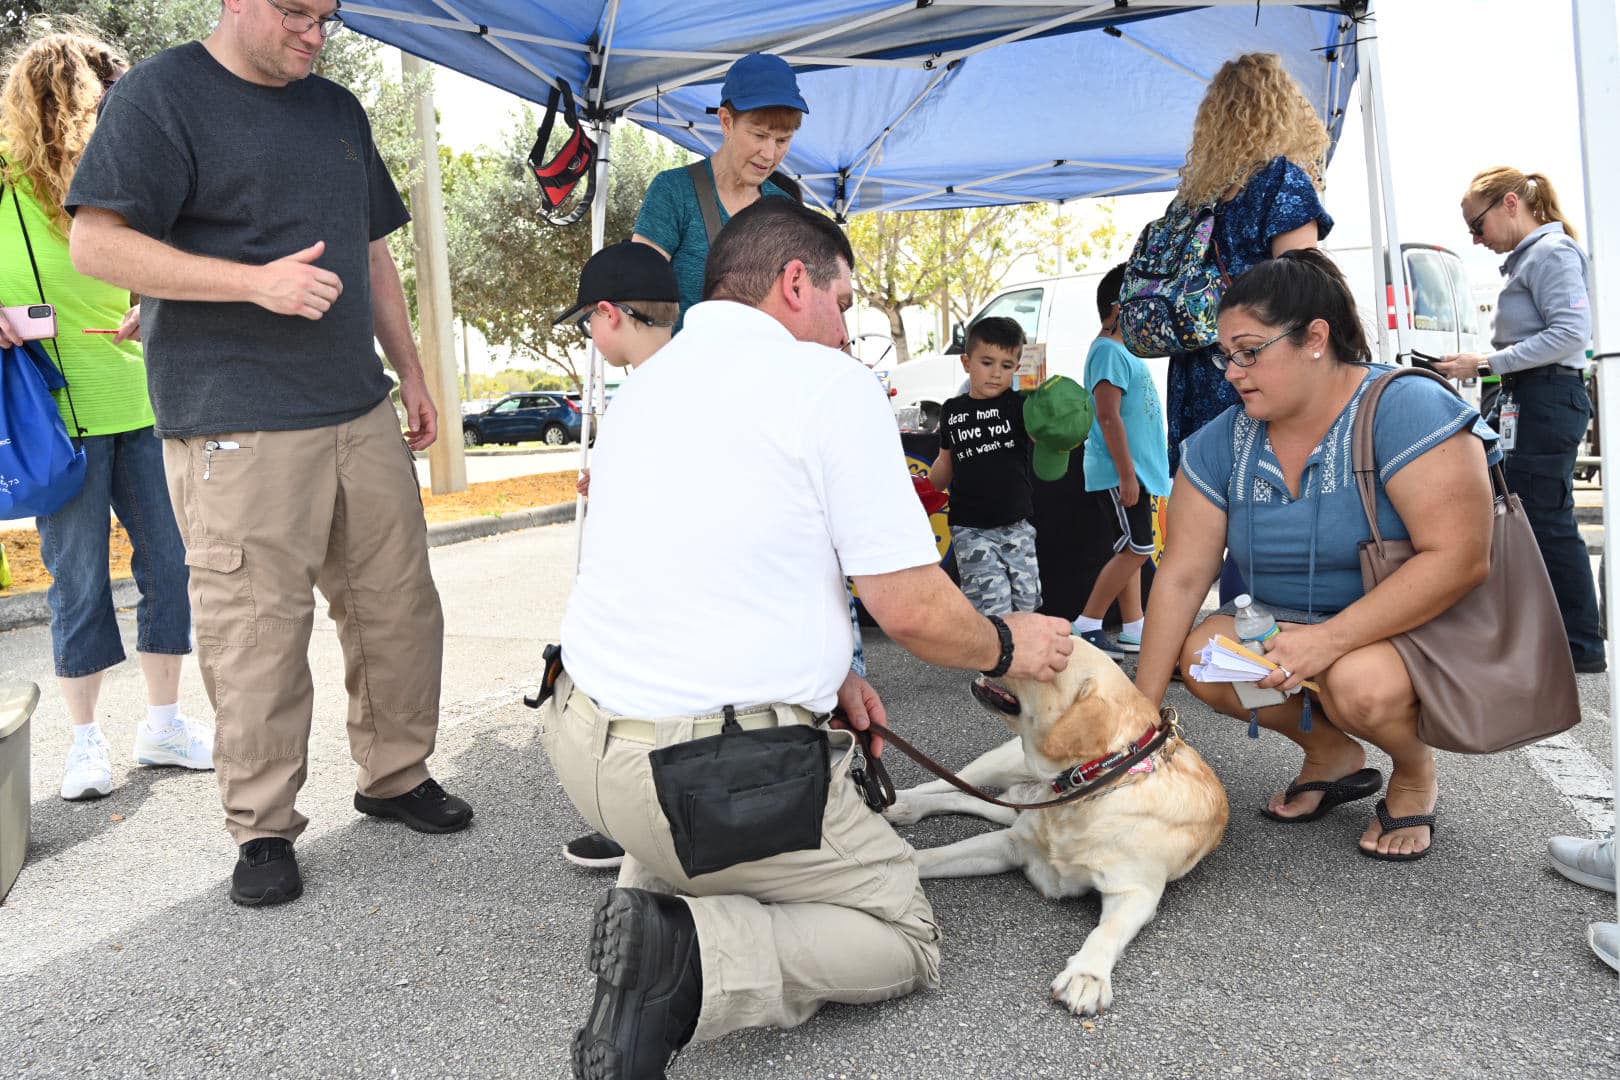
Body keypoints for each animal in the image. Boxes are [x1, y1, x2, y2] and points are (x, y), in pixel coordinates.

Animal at [887, 637, 1224, 1016]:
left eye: (1051, 661)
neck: (1093, 783)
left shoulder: (1135, 891)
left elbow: (1106, 931)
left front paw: (1087, 975)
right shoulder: (1010, 844)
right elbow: (934, 856)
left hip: (1012, 803)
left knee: (970, 799)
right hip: (999, 764)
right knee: (943, 783)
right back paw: (898, 802)